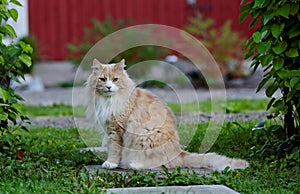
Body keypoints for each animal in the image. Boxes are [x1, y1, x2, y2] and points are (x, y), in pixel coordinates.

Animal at [85, 58, 248, 171]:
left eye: (115, 79)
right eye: (102, 79)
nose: (108, 87)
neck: (109, 101)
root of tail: (179, 153)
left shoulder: (116, 130)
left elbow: (114, 149)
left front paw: (111, 163)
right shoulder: (109, 128)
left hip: (146, 136)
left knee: (160, 164)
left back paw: (133, 165)